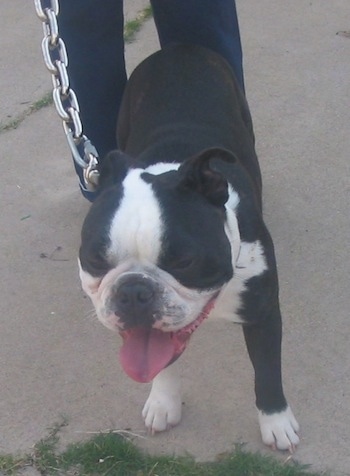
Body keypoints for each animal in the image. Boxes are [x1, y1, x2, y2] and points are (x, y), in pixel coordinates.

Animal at [78, 43, 300, 450]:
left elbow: (267, 371)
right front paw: (163, 402)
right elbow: (160, 362)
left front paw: (276, 421)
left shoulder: (263, 313)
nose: (133, 291)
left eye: (183, 261)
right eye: (96, 260)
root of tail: (178, 48)